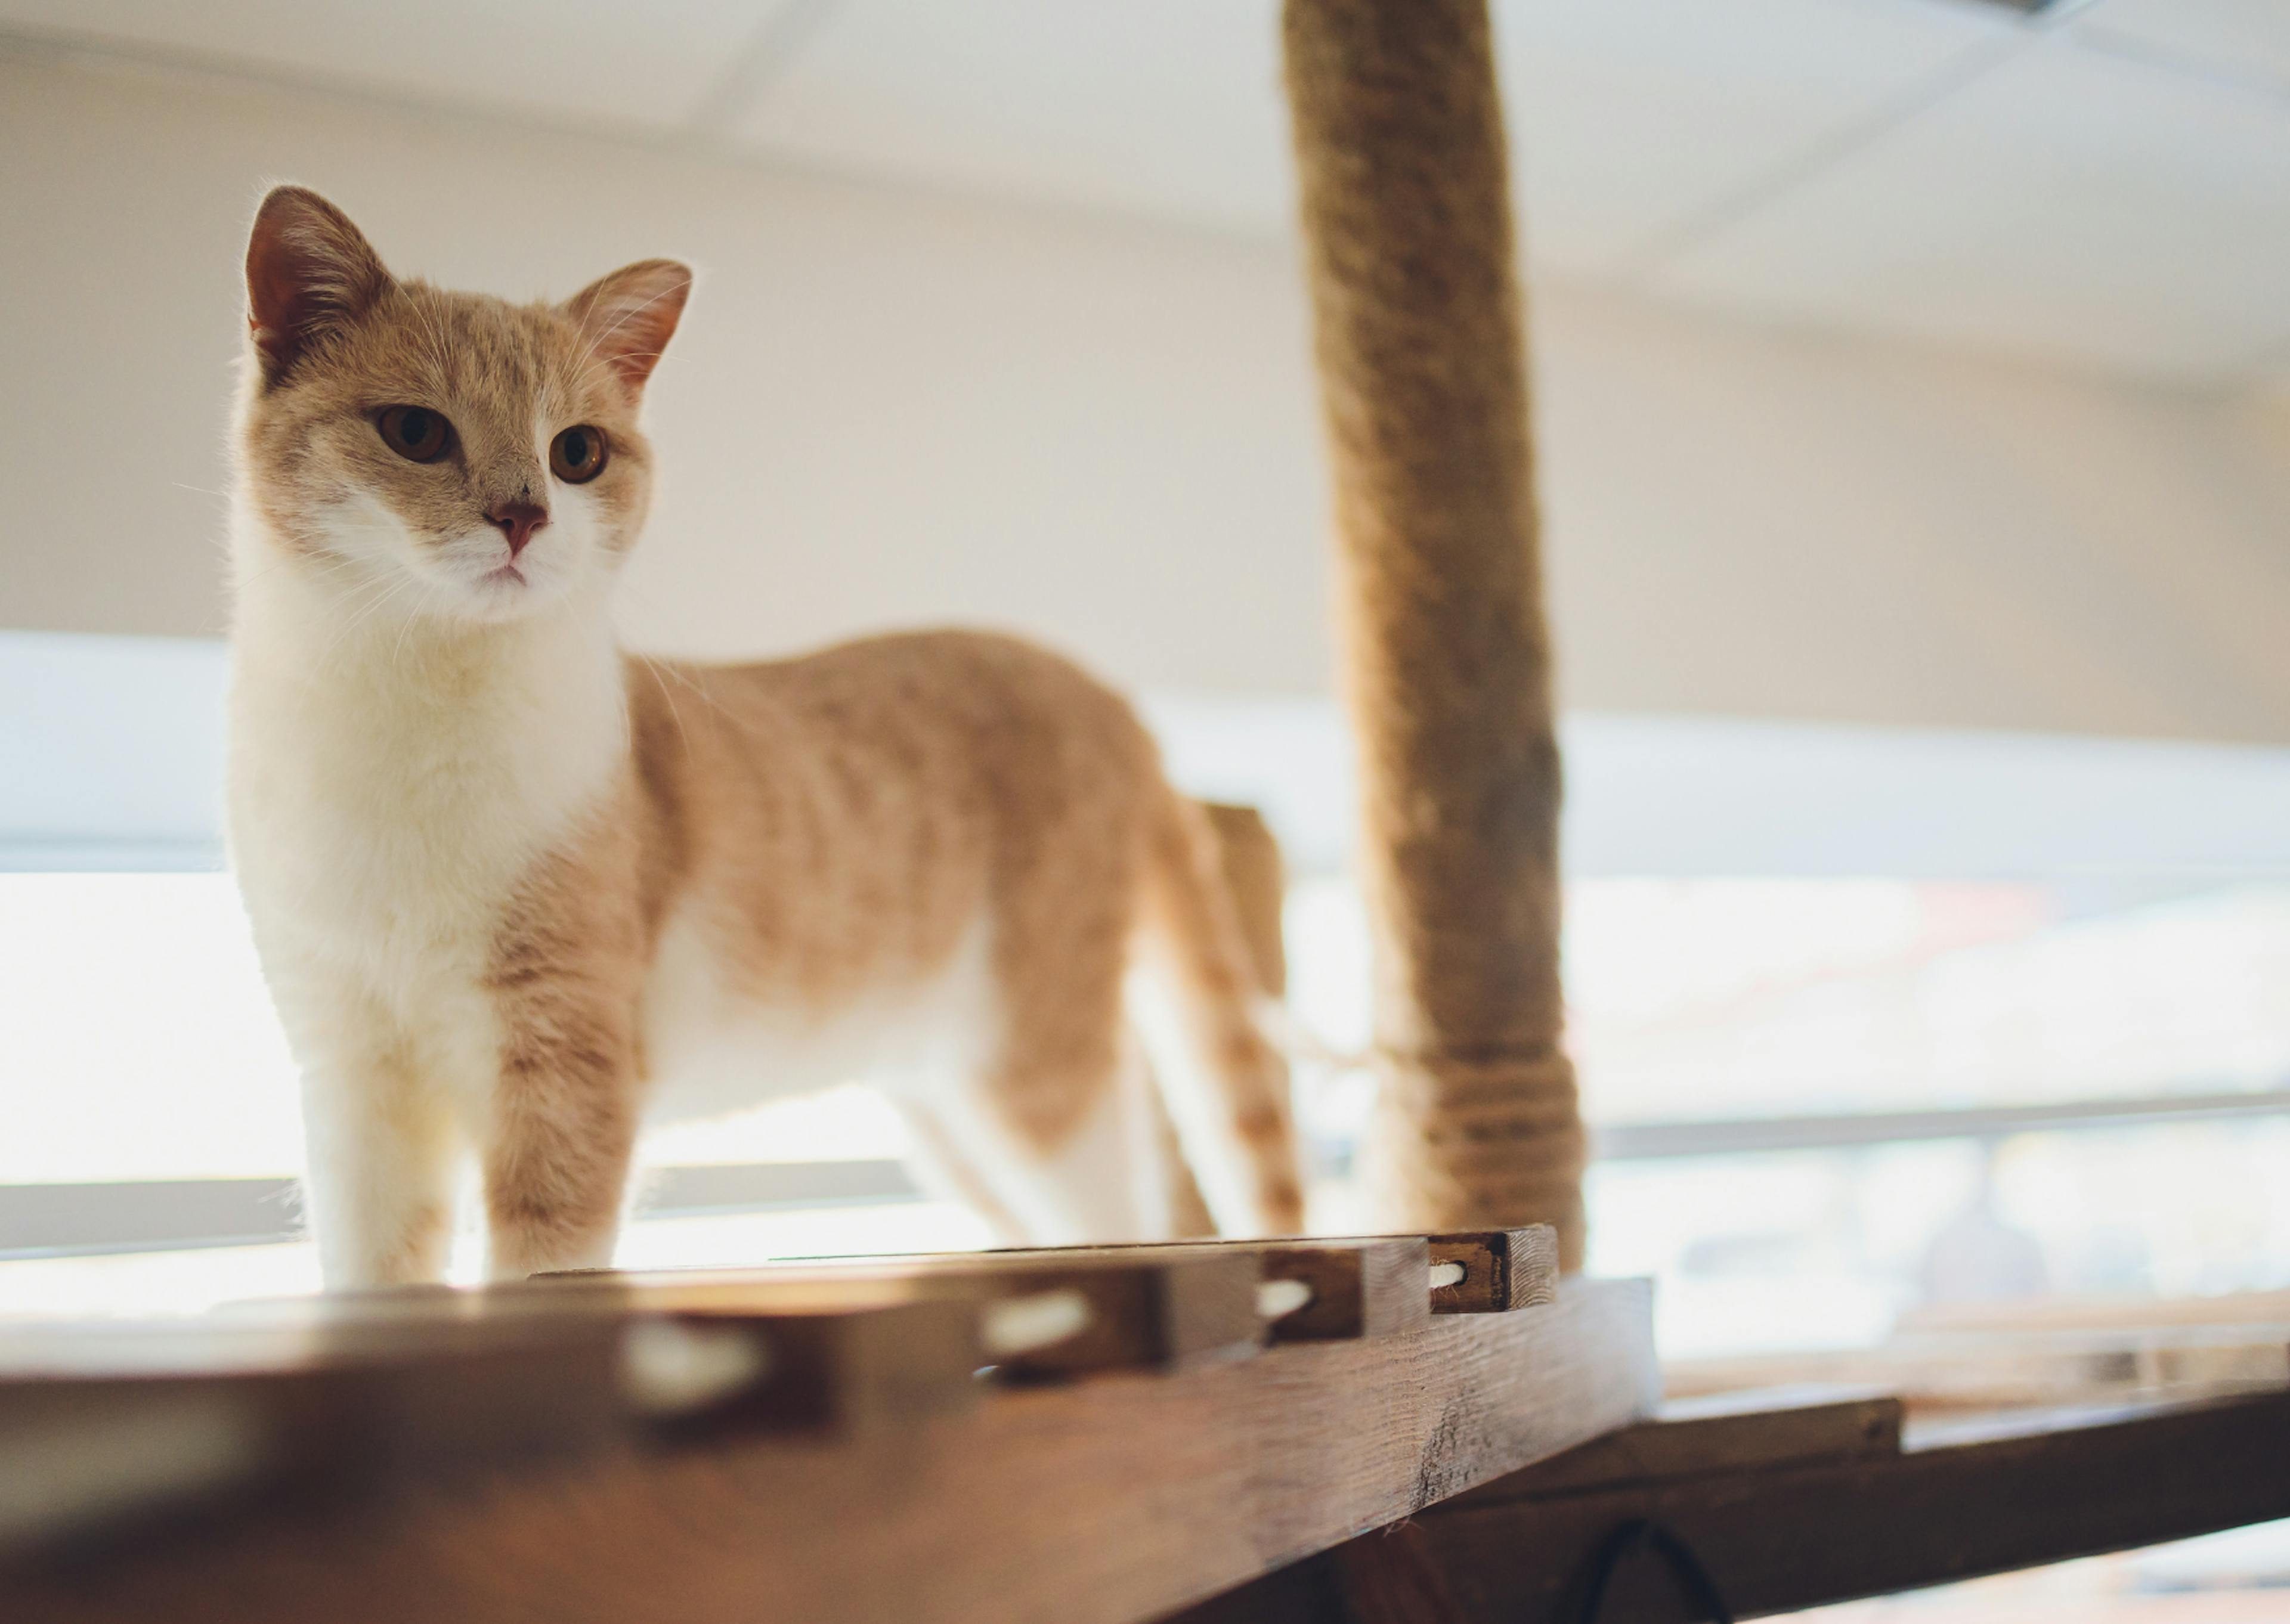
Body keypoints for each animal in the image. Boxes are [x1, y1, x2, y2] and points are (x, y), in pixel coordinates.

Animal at [232, 183, 1310, 1282]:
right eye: (415, 431)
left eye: (577, 452)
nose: (523, 514)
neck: (414, 712)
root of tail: (1109, 695)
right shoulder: (353, 1074)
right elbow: (374, 1271)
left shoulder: (567, 1059)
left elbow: (542, 1263)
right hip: (949, 1115)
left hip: (1035, 1070)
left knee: (1128, 1212)